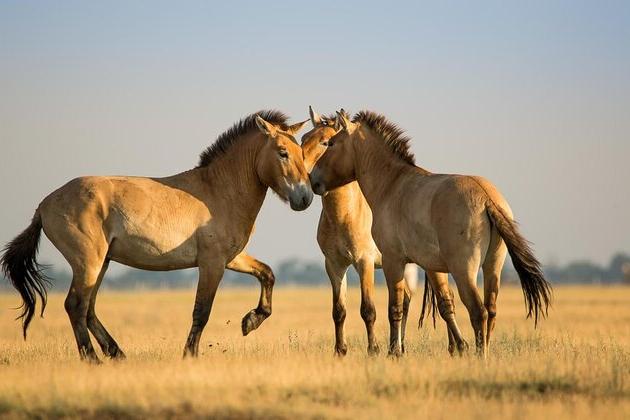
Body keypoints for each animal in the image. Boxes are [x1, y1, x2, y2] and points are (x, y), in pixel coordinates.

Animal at [0, 110, 314, 362]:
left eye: (302, 153)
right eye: (283, 152)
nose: (305, 197)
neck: (219, 191)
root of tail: (44, 205)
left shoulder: (231, 258)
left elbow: (267, 273)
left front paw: (250, 321)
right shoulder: (211, 263)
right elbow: (202, 311)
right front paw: (190, 355)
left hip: (102, 263)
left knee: (88, 309)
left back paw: (117, 353)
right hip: (88, 262)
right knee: (76, 306)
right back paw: (93, 359)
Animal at [312, 110, 552, 356]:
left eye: (330, 143)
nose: (313, 180)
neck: (391, 184)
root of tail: (487, 198)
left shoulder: (391, 261)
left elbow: (394, 308)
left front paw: (393, 352)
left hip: (463, 270)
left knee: (478, 311)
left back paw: (478, 356)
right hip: (492, 266)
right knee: (491, 310)